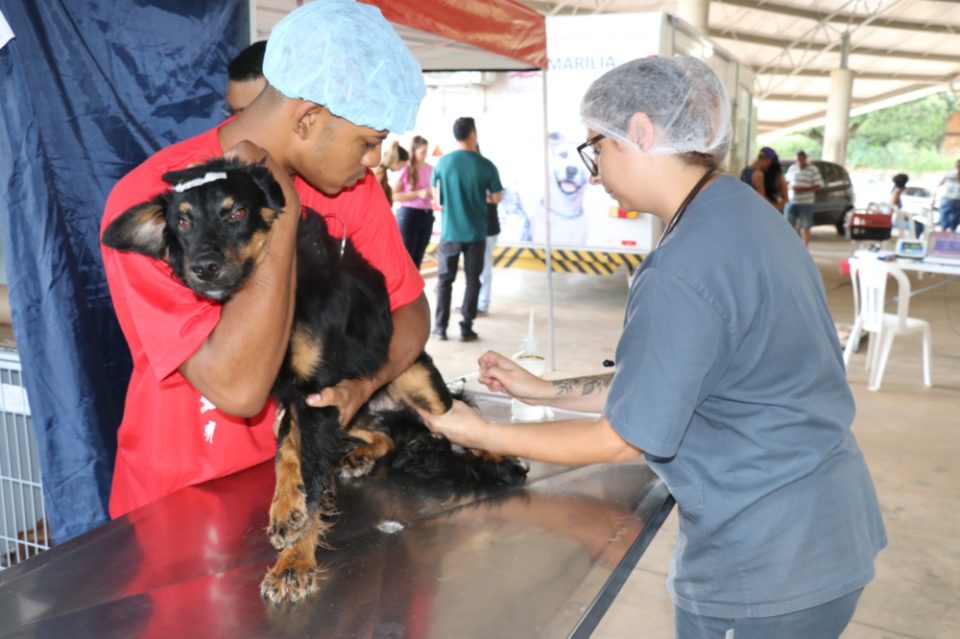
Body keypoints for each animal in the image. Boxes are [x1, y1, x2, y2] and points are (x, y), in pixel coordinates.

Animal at [101, 159, 528, 604]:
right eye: (182, 221)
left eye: (236, 213)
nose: (203, 268)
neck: (276, 289)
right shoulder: (297, 395)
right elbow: (288, 451)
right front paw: (286, 506)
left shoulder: (316, 394)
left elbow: (310, 473)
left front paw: (294, 563)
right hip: (354, 409)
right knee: (382, 437)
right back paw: (359, 456)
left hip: (417, 383)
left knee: (462, 422)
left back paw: (500, 460)